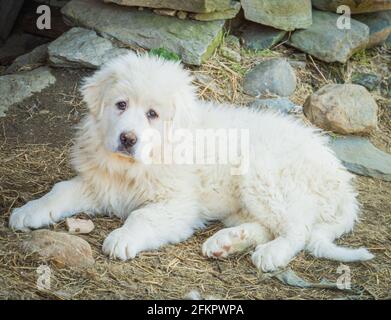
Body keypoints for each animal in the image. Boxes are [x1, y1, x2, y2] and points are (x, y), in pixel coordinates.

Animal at [10, 53, 376, 272]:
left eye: (153, 114)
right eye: (120, 104)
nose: (128, 139)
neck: (136, 165)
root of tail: (342, 182)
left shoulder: (178, 203)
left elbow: (143, 216)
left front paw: (122, 238)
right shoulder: (100, 182)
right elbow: (60, 190)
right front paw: (28, 211)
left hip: (264, 174)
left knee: (297, 229)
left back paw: (271, 254)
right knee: (268, 225)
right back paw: (225, 242)